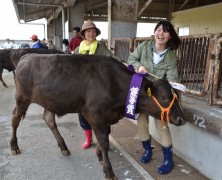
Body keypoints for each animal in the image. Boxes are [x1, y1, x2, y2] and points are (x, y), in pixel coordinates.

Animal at [10, 53, 185, 179]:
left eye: (176, 96)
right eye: (164, 97)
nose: (181, 119)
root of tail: (26, 56)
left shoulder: (106, 116)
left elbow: (104, 138)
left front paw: (100, 155)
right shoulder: (95, 114)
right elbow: (104, 141)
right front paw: (108, 171)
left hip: (50, 101)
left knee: (49, 119)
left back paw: (64, 147)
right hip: (22, 98)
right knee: (15, 119)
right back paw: (14, 146)